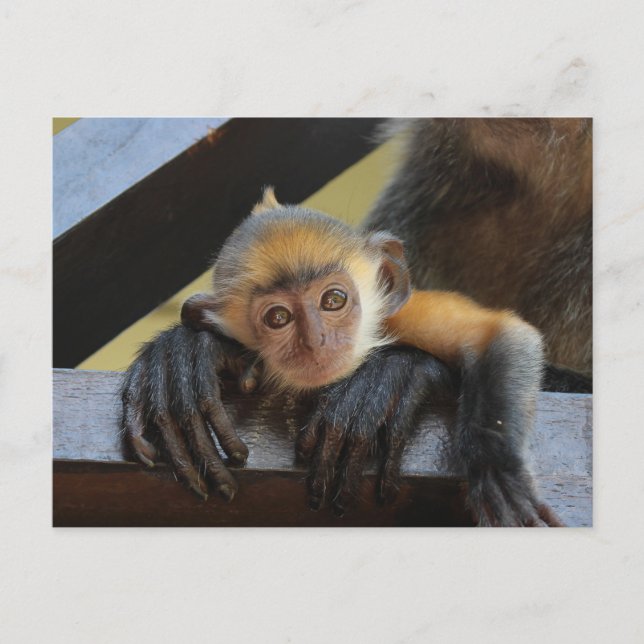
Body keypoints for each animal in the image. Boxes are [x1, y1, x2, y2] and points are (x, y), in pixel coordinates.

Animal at [122, 186, 561, 527]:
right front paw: (190, 357)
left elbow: (500, 335)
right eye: (278, 318)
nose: (316, 339)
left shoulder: (404, 315)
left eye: (334, 300)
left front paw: (496, 471)